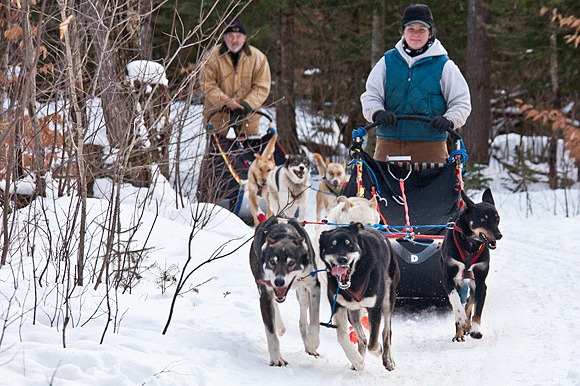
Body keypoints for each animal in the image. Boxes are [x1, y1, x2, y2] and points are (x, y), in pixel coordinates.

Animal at [247, 216, 320, 366]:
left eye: (291, 263)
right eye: (272, 262)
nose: (279, 281)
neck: (283, 235)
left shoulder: (314, 286)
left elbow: (314, 319)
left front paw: (313, 341)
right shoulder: (265, 294)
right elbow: (271, 332)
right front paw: (276, 359)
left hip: (303, 292)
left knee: (303, 318)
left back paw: (308, 344)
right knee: (275, 307)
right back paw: (280, 326)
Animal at [318, 223, 398, 370]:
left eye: (350, 244)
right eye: (332, 246)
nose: (342, 259)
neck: (354, 280)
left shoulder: (375, 308)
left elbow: (373, 342)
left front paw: (378, 350)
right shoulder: (338, 306)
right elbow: (342, 337)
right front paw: (357, 361)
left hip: (388, 299)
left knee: (386, 331)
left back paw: (388, 358)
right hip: (353, 311)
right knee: (363, 339)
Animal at [442, 188, 500, 342]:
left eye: (497, 219)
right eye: (483, 220)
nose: (499, 235)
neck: (470, 243)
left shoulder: (481, 282)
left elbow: (477, 311)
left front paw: (475, 329)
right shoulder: (448, 279)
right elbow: (455, 300)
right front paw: (461, 319)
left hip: (473, 284)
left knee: (469, 301)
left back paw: (467, 327)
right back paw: (459, 332)